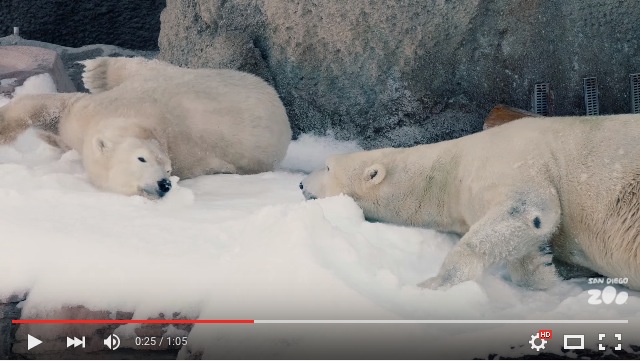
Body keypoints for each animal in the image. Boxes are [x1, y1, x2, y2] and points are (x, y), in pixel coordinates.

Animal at [1, 57, 292, 197]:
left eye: (169, 169)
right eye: (142, 159)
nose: (164, 184)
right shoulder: (96, 111)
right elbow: (50, 108)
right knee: (148, 66)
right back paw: (99, 72)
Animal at [300, 115, 640, 290]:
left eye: (326, 166)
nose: (301, 184)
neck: (453, 170)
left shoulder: (513, 159)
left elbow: (527, 209)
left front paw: (434, 283)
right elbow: (526, 247)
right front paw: (548, 270)